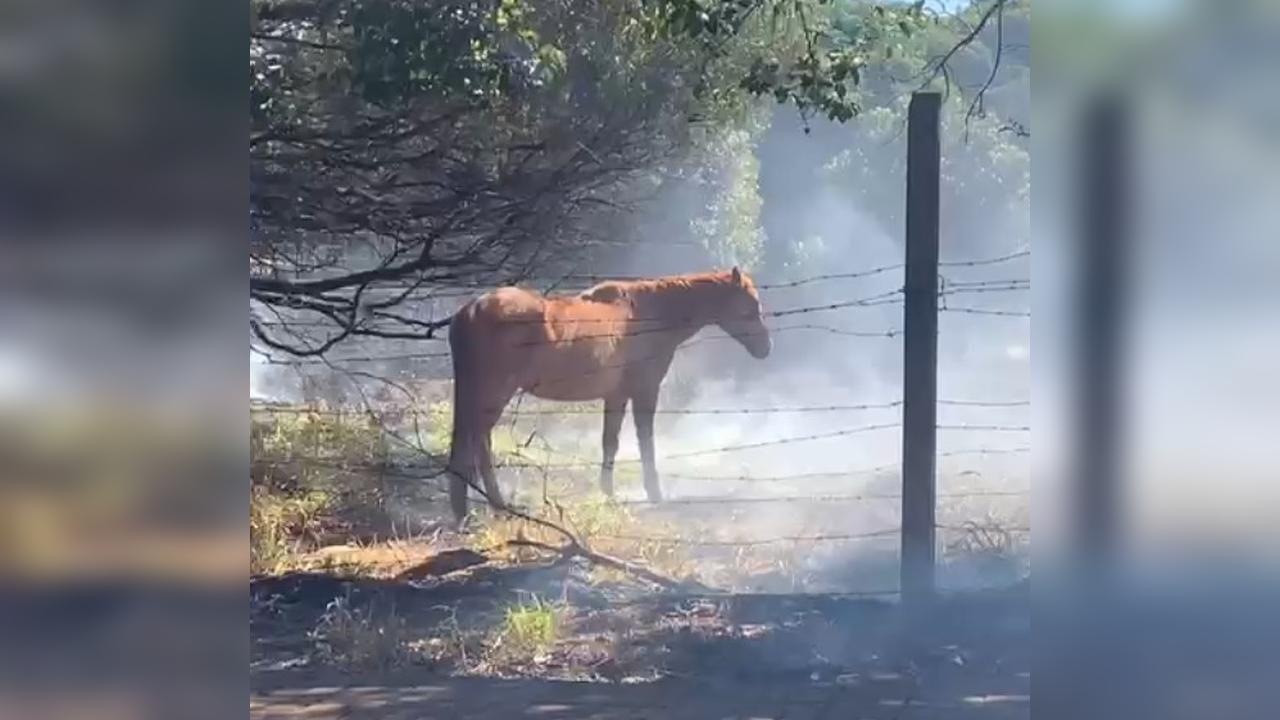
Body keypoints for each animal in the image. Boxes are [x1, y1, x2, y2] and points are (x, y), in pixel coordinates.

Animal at [445, 266, 771, 520]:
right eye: (750, 306)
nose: (765, 349)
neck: (650, 316)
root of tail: (470, 311)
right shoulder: (644, 392)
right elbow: (646, 442)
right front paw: (654, 493)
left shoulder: (616, 396)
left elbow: (609, 443)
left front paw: (607, 493)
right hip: (494, 394)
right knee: (480, 443)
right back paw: (497, 504)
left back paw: (464, 507)